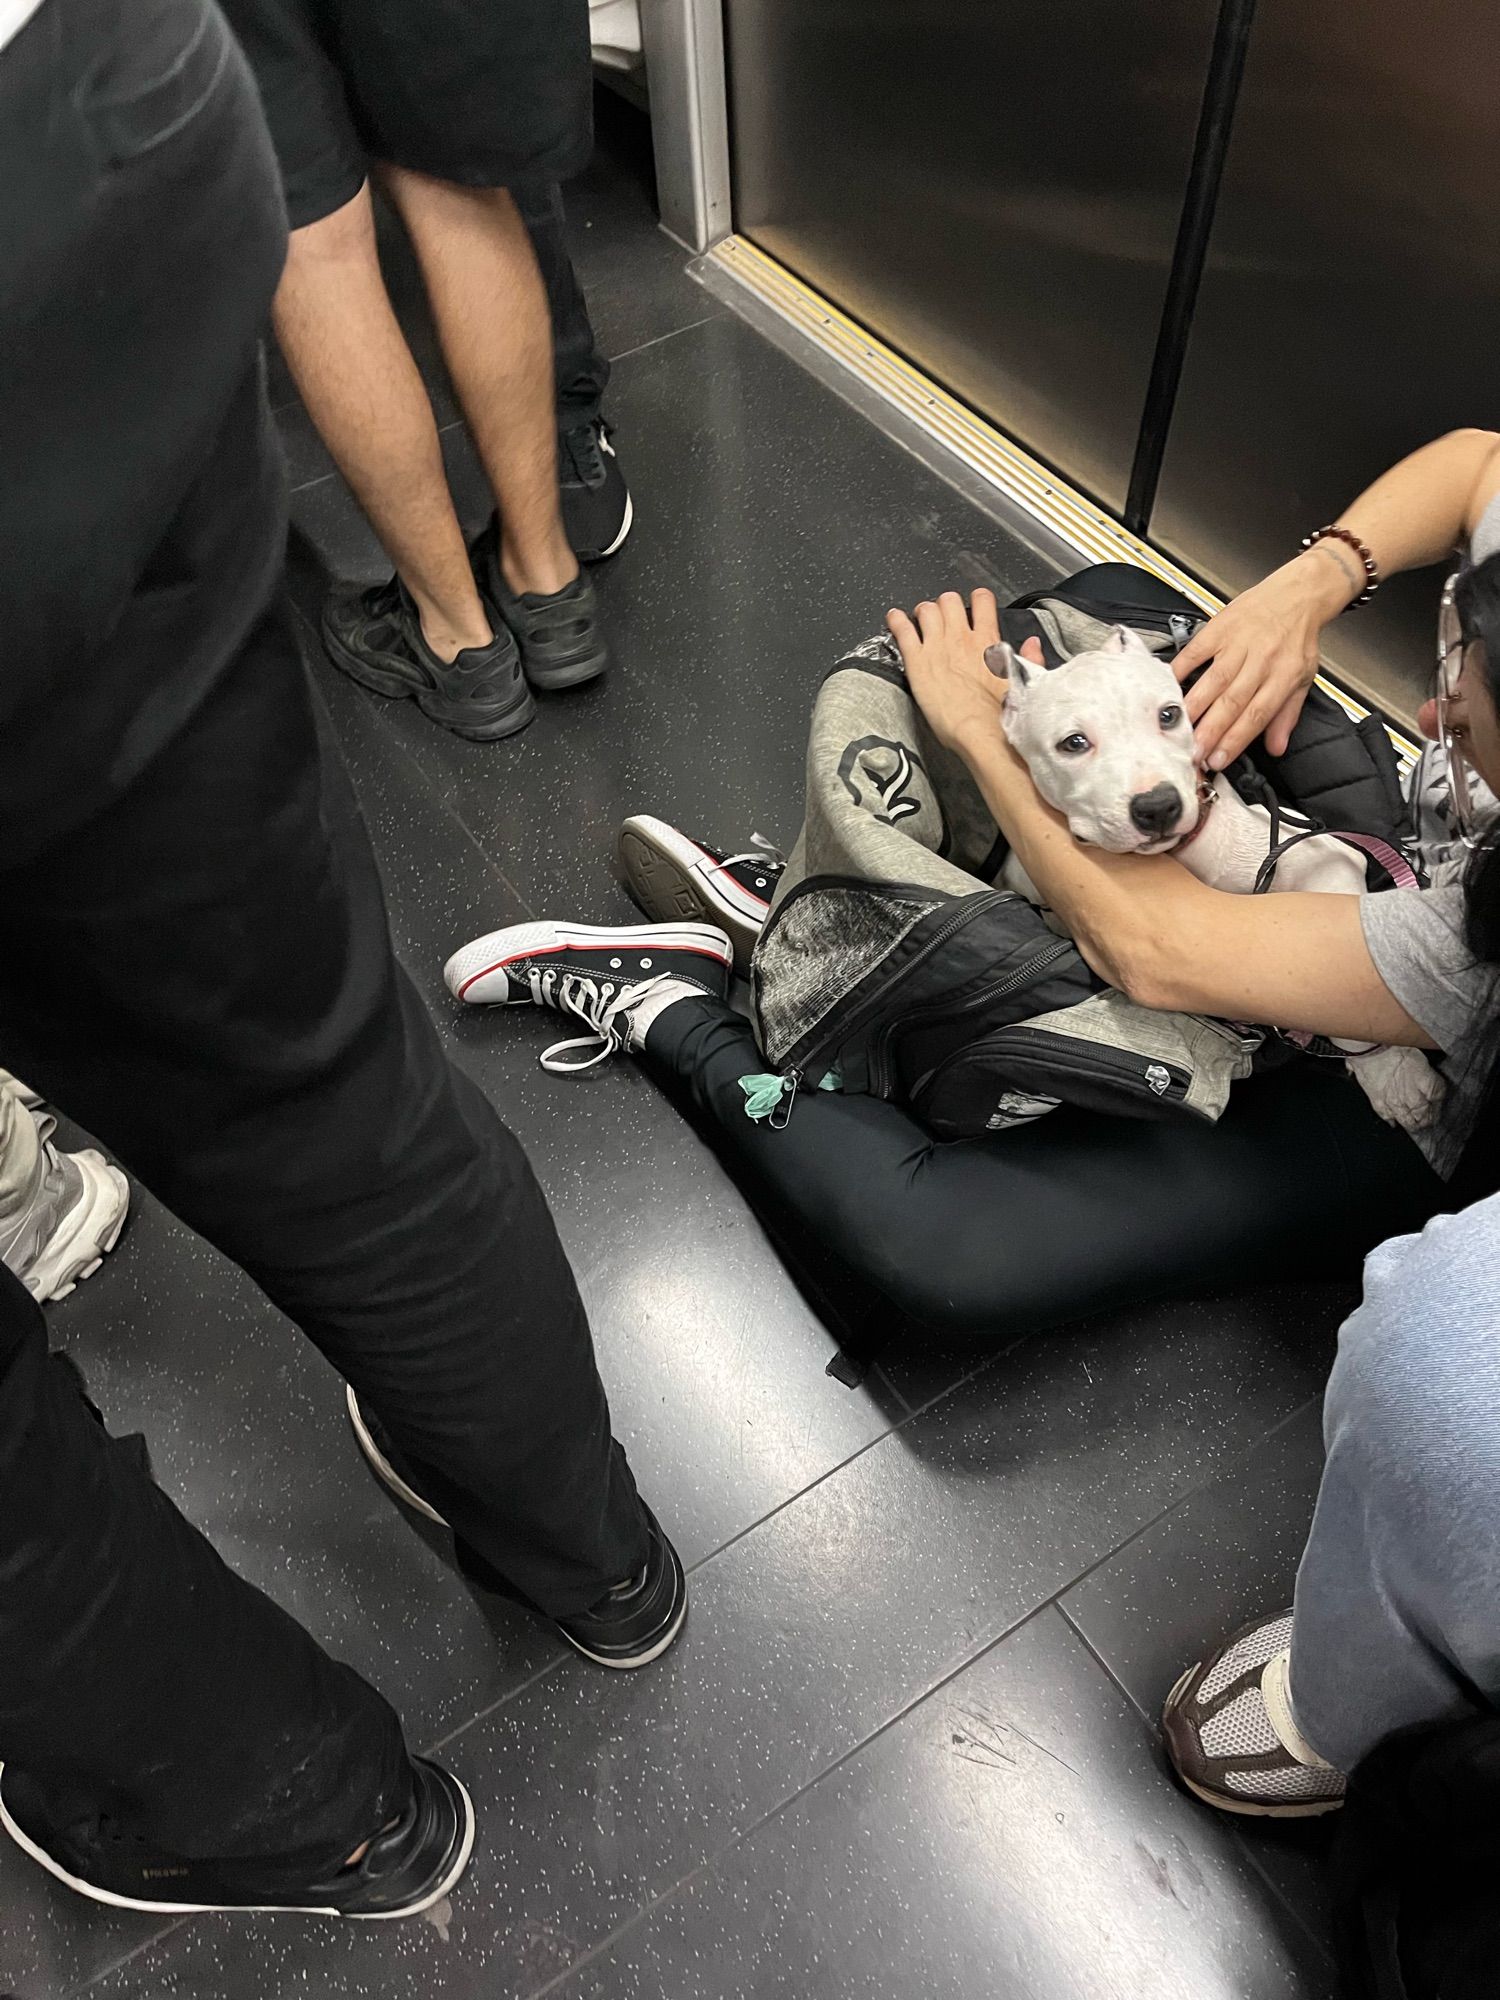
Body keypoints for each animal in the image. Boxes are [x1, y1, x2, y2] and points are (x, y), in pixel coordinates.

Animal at [988, 628, 1448, 1128]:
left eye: (1169, 714)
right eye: (1072, 743)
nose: (1158, 807)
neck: (1186, 856)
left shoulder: (1325, 859)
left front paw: (1396, 1078)